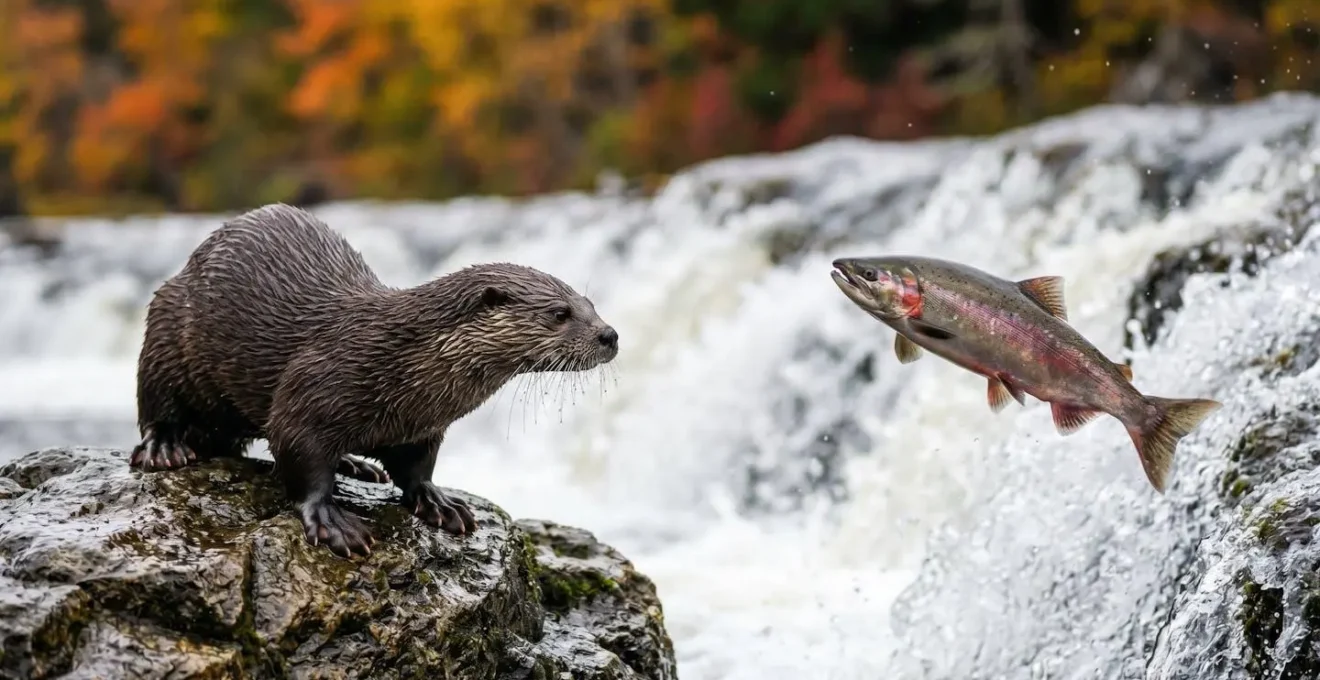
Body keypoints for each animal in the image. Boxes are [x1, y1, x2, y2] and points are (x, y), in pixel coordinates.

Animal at [129, 203, 619, 557]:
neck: (398, 363)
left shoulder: (422, 429)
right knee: (156, 404)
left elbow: (417, 468)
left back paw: (356, 465)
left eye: (591, 304)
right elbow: (298, 457)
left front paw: (438, 501)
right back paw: (165, 448)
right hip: (166, 329)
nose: (610, 334)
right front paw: (331, 521)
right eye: (560, 313)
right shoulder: (310, 389)